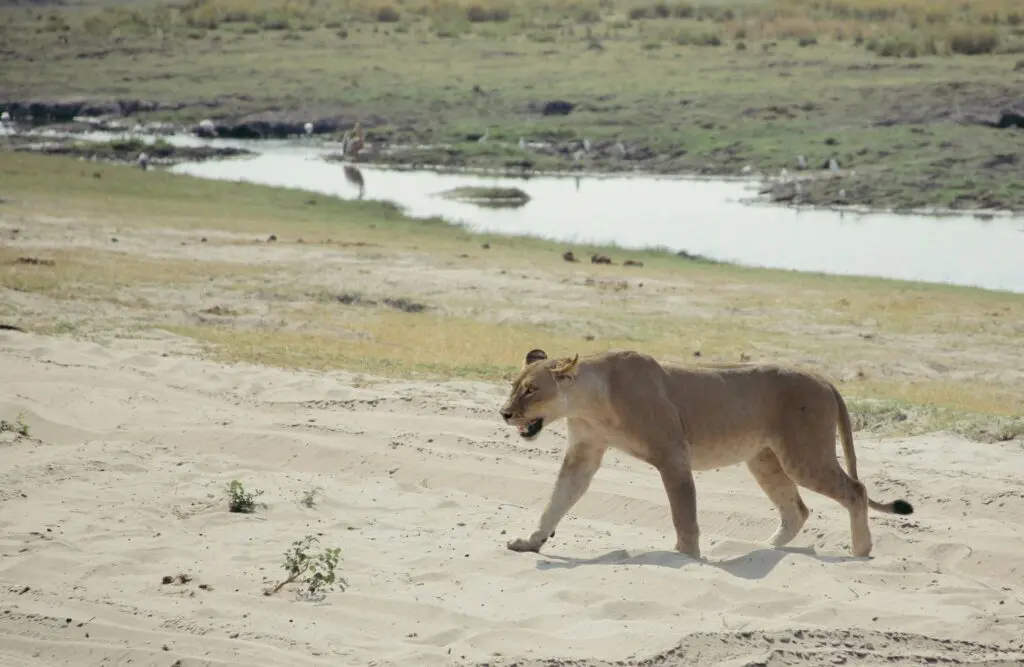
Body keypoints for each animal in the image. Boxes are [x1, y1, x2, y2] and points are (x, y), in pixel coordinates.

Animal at [498, 348, 914, 560]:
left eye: (532, 390)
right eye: (514, 386)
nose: (504, 413)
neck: (589, 403)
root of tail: (825, 379)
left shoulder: (674, 456)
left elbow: (684, 515)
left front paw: (686, 557)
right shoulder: (583, 454)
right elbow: (556, 501)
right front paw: (532, 542)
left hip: (804, 455)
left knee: (856, 491)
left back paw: (860, 552)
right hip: (764, 459)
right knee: (797, 510)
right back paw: (762, 550)